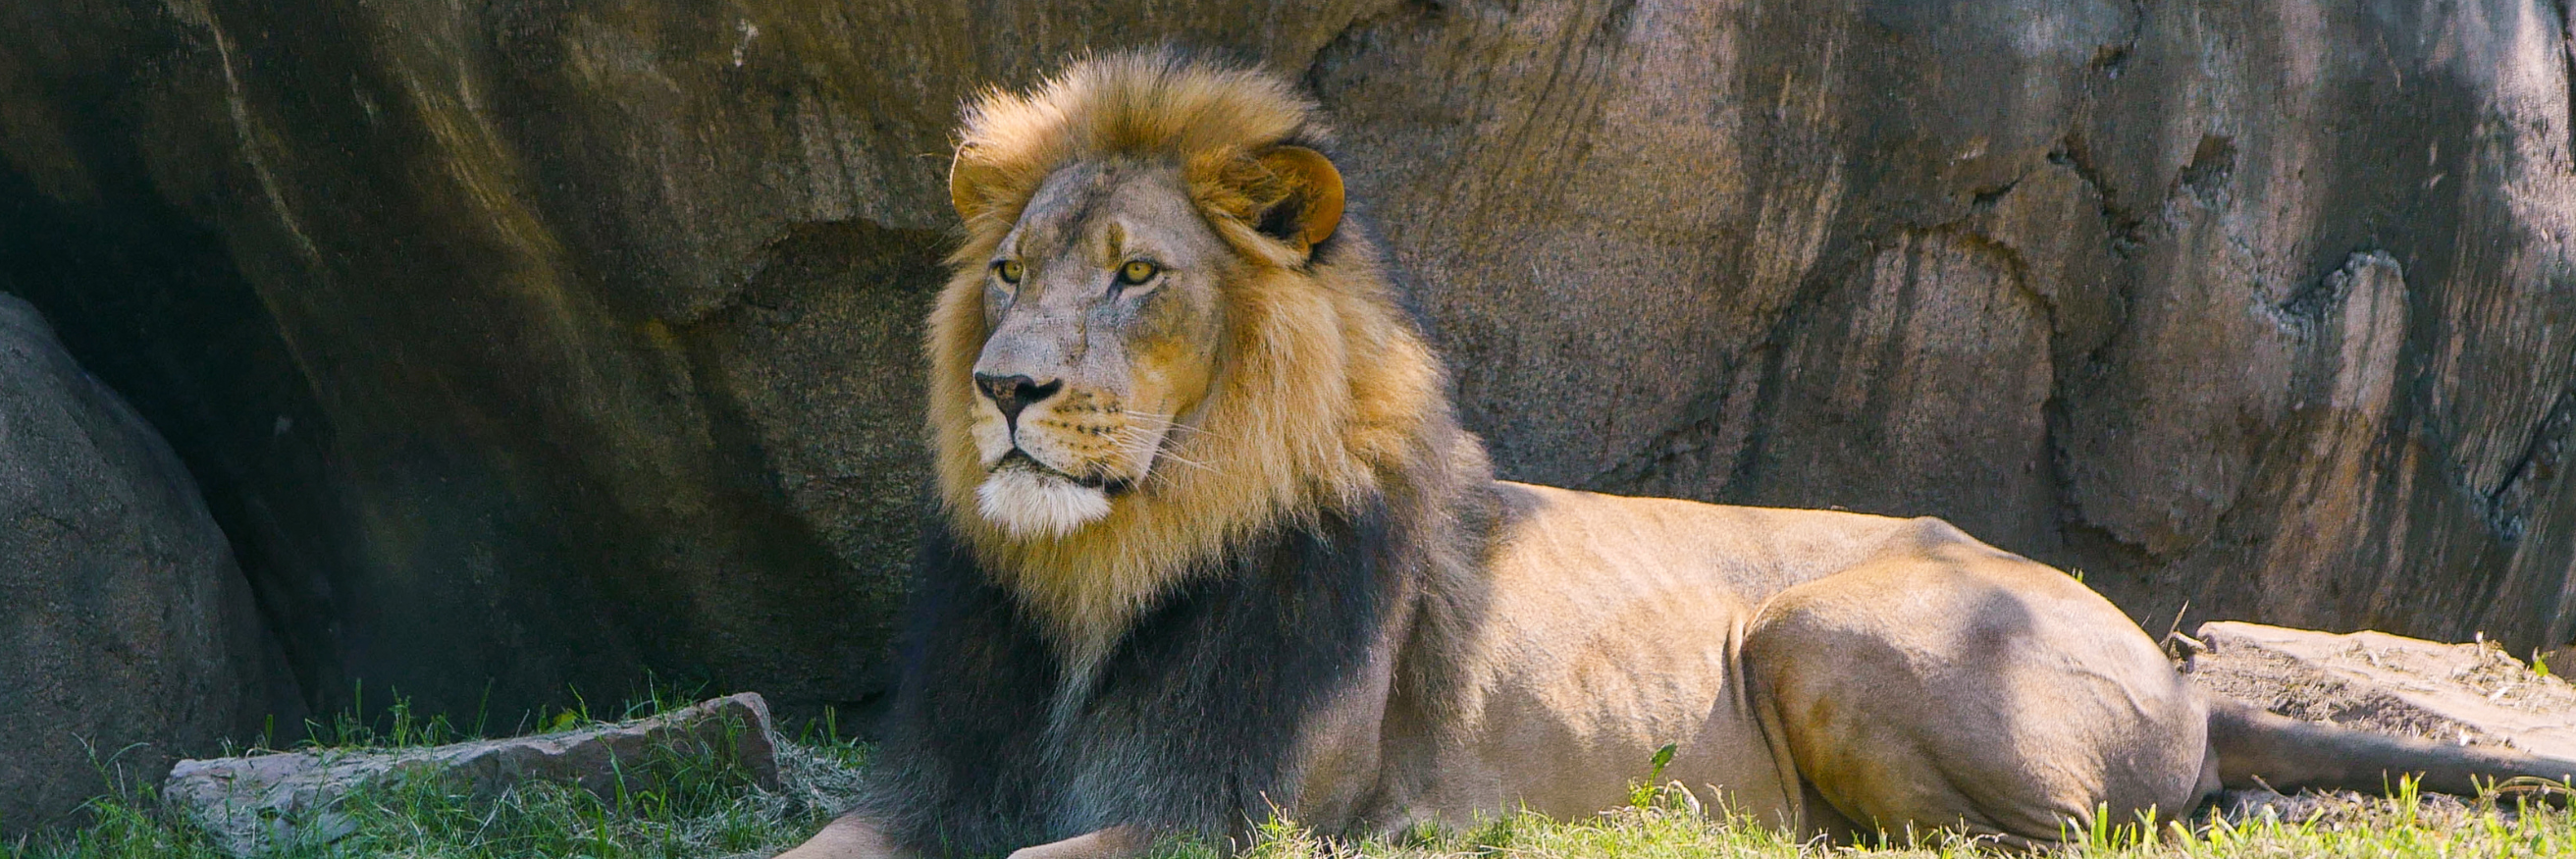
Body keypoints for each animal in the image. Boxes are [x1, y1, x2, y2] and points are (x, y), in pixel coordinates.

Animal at [778, 49, 2576, 859]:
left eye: (1137, 276)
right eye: (1010, 272)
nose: (1005, 387)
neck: (1102, 575)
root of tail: (2185, 673)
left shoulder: (1238, 818)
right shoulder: (936, 788)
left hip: (1822, 629)